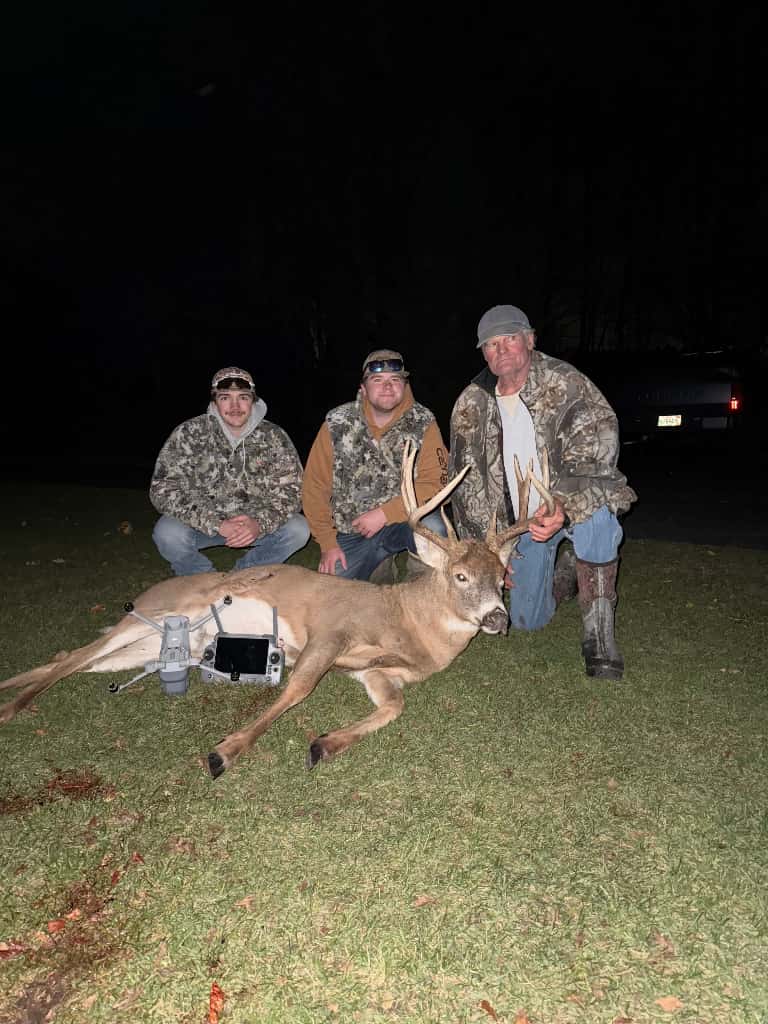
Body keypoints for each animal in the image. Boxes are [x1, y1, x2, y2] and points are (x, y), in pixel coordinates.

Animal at [0, 444, 553, 778]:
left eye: (501, 575)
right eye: (460, 577)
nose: (498, 619)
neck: (407, 624)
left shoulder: (375, 672)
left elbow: (394, 706)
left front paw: (323, 744)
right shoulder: (329, 631)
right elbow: (297, 689)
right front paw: (224, 751)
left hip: (146, 646)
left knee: (70, 657)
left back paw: (10, 693)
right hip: (157, 612)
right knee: (75, 656)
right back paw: (13, 706)